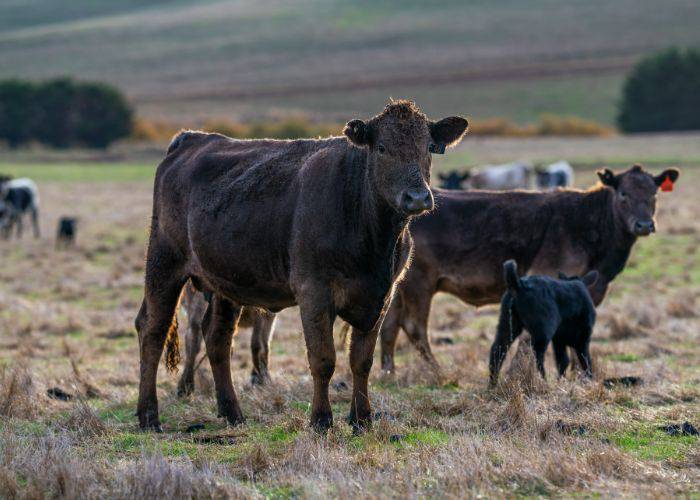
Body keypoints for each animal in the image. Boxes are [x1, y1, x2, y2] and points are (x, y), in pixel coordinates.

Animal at [133, 101, 468, 434]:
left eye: (429, 147)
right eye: (382, 147)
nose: (418, 197)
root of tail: (192, 138)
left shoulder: (381, 296)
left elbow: (362, 361)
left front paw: (362, 419)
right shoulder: (314, 292)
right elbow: (323, 359)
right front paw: (321, 420)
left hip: (223, 281)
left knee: (217, 337)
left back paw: (233, 413)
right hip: (164, 262)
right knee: (153, 328)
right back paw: (149, 416)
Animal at [380, 166, 680, 374]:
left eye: (653, 194)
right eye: (623, 194)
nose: (644, 224)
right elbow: (532, 339)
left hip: (397, 286)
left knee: (389, 323)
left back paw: (389, 372)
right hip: (419, 282)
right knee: (414, 326)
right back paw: (438, 371)